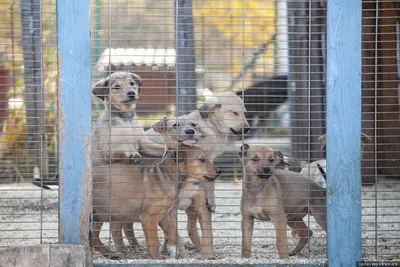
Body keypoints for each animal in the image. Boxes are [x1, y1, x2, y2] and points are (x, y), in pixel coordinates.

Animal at [91, 146, 219, 260]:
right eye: (202, 159)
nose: (219, 171)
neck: (165, 176)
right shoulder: (149, 218)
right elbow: (154, 241)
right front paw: (158, 258)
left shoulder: (163, 215)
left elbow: (172, 230)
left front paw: (173, 247)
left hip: (99, 216)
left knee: (94, 237)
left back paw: (110, 254)